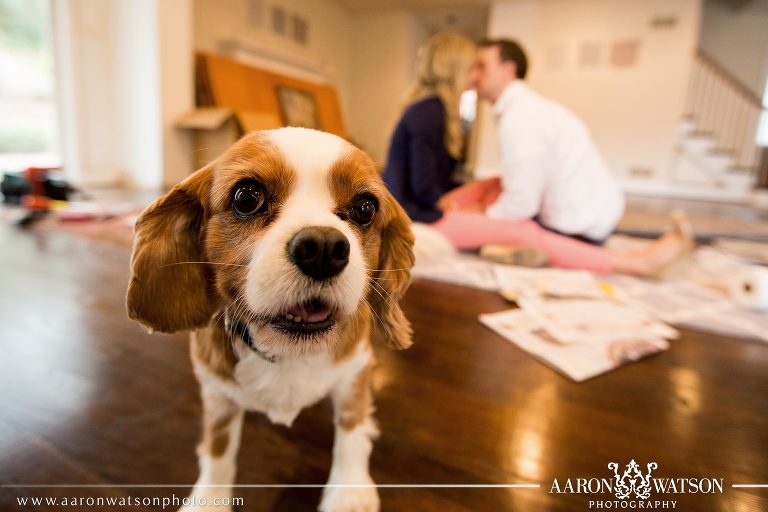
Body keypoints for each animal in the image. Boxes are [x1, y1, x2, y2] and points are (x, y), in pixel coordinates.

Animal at [127, 128, 414, 512]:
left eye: (365, 208)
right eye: (247, 197)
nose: (324, 248)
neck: (287, 353)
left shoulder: (356, 371)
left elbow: (352, 427)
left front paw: (349, 492)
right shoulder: (216, 394)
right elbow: (217, 452)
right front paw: (208, 500)